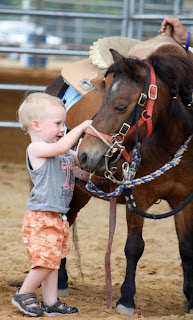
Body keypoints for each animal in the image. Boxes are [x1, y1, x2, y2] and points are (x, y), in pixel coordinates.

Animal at [77, 51, 193, 316]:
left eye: (121, 105)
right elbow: (134, 246)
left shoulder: (184, 201)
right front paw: (126, 299)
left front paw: (191, 299)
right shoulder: (137, 198)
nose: (85, 154)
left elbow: (185, 247)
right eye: (103, 99)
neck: (168, 146)